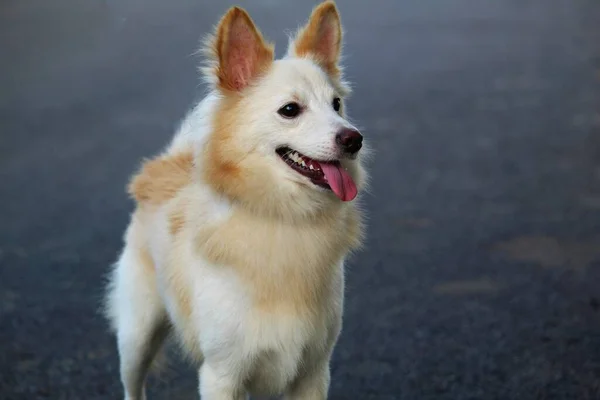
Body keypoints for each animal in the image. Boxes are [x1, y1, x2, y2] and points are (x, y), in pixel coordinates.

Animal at [103, 1, 366, 398]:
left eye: (337, 105)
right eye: (290, 110)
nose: (354, 139)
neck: (284, 216)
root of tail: (166, 165)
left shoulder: (313, 372)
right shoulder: (221, 375)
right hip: (137, 340)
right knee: (133, 385)